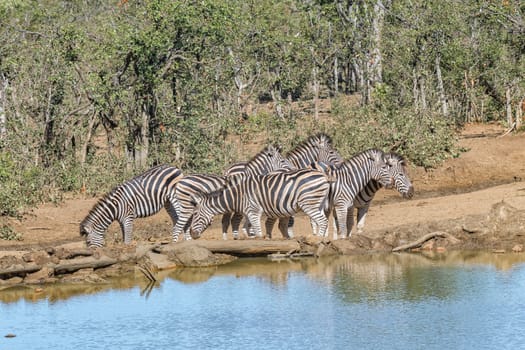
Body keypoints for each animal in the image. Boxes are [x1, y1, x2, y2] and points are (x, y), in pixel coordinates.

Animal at [188, 168, 330, 239]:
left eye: (195, 214)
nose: (192, 234)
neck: (238, 195)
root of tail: (323, 175)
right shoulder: (249, 213)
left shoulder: (253, 211)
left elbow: (258, 232)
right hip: (318, 203)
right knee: (324, 220)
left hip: (309, 203)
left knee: (322, 221)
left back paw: (319, 240)